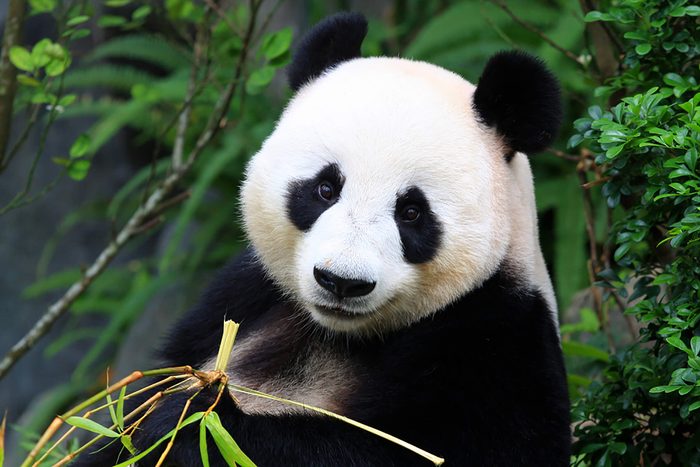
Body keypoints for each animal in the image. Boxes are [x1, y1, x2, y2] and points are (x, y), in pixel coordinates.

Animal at [77, 12, 570, 467]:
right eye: (325, 189)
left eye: (412, 213)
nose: (342, 282)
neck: (340, 334)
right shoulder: (240, 297)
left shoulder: (498, 341)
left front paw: (188, 423)